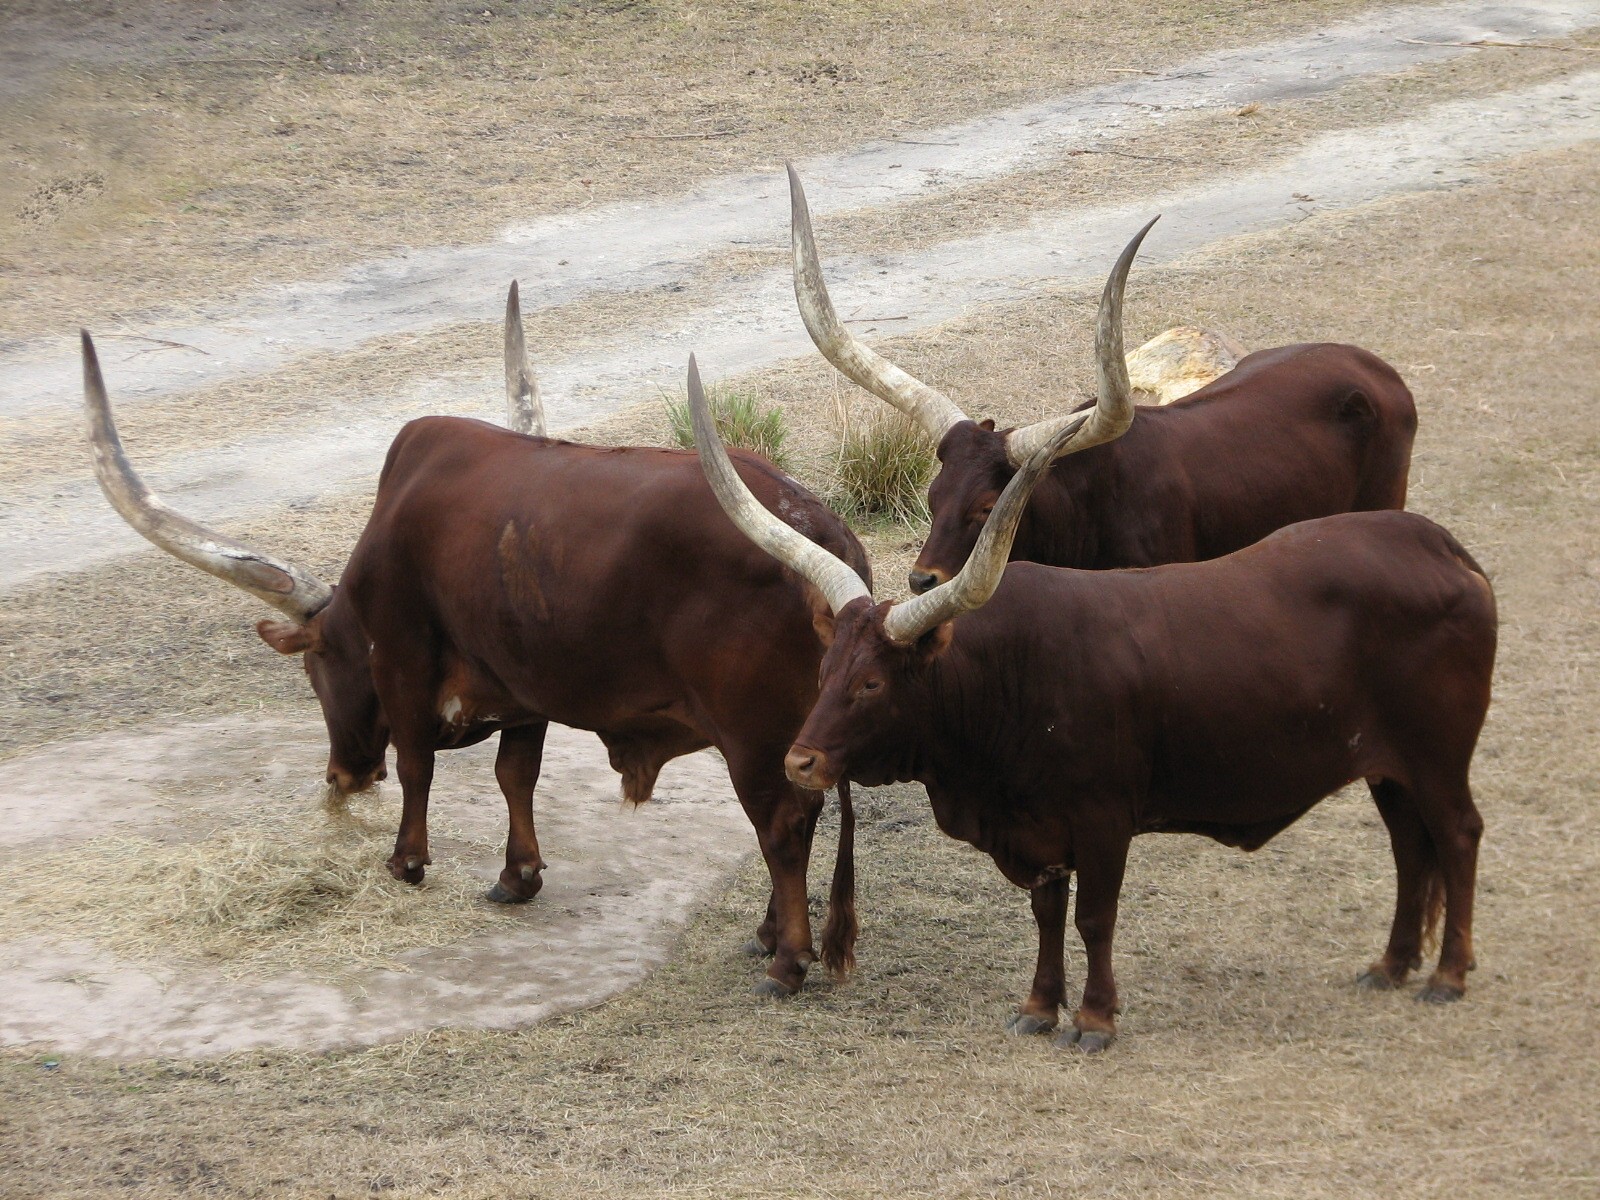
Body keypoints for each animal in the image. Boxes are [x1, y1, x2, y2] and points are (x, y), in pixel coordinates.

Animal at [80, 285, 870, 996]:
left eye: (316, 667)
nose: (339, 777)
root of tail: (823, 535)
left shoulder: (403, 661)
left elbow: (416, 765)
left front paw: (405, 862)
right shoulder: (523, 686)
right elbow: (514, 775)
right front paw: (516, 875)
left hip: (753, 737)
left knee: (782, 824)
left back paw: (787, 959)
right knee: (798, 817)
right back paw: (767, 934)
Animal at [685, 327, 1496, 1049]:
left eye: (874, 682)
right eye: (826, 673)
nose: (801, 762)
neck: (1010, 676)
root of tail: (1443, 548)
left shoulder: (1104, 819)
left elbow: (1094, 917)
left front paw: (1097, 1020)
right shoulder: (1035, 828)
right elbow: (1048, 913)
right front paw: (1040, 1010)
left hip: (1439, 756)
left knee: (1457, 834)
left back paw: (1448, 975)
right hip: (1388, 765)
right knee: (1410, 846)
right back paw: (1391, 965)